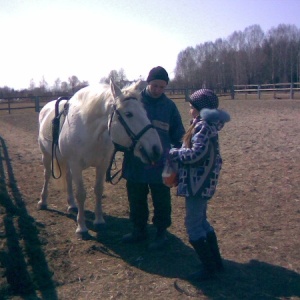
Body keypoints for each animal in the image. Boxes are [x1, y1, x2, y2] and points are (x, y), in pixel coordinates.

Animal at [39, 79, 164, 239]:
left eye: (145, 112)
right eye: (128, 114)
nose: (156, 149)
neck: (89, 130)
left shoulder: (102, 164)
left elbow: (98, 190)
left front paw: (99, 220)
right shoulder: (76, 165)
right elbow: (81, 194)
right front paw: (82, 228)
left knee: (67, 177)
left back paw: (71, 205)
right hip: (47, 156)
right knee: (47, 175)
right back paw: (43, 201)